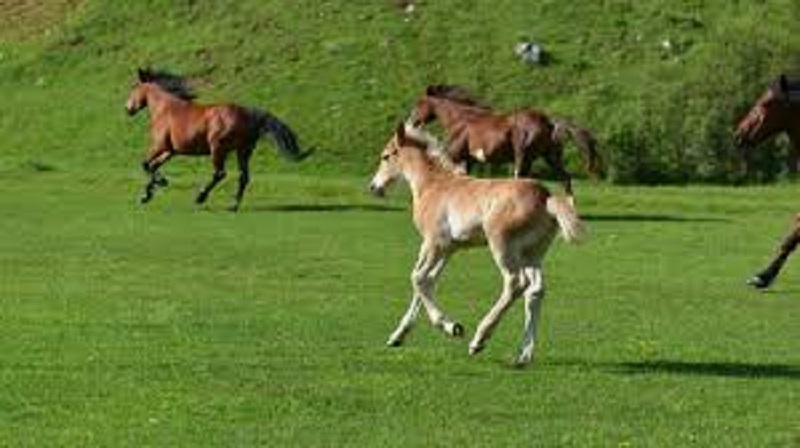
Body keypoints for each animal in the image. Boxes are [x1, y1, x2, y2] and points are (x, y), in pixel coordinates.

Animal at [125, 68, 310, 211]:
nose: (128, 109)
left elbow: (145, 164)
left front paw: (160, 183)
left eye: (134, 87)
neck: (165, 109)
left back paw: (201, 196)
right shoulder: (170, 151)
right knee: (243, 176)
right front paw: (147, 194)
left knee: (220, 173)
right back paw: (233, 205)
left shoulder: (159, 146)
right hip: (243, 151)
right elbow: (152, 166)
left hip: (218, 149)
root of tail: (248, 115)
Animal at [369, 123, 584, 365]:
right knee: (536, 290)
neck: (434, 185)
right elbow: (426, 280)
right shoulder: (448, 248)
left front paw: (451, 326)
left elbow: (418, 278)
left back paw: (479, 339)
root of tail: (546, 197)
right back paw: (524, 354)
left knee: (515, 283)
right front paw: (398, 335)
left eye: (386, 156)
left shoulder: (434, 243)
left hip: (502, 245)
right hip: (532, 254)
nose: (374, 187)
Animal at [408, 84, 603, 196]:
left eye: (419, 103)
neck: (462, 120)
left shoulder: (453, 154)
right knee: (565, 179)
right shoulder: (468, 159)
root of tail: (548, 121)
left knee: (521, 178)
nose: (411, 122)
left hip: (522, 155)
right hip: (549, 157)